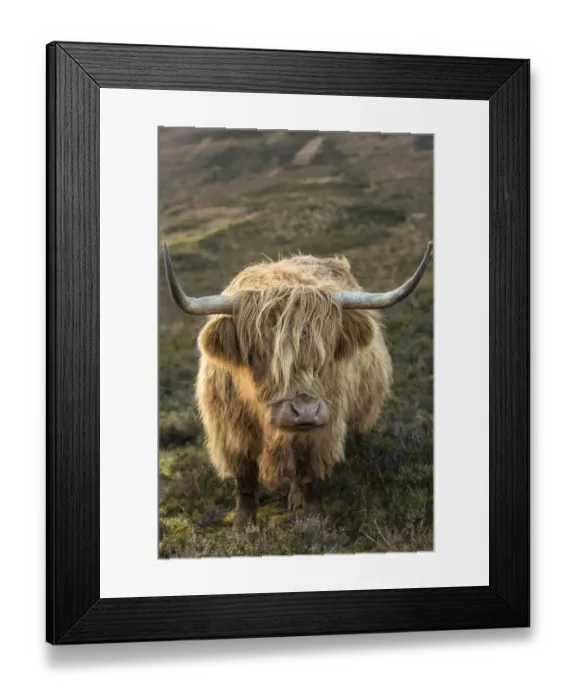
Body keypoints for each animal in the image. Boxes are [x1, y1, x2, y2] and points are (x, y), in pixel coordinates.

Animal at [163, 241, 433, 526]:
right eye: (260, 352)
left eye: (325, 351)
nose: (305, 411)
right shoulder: (230, 430)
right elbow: (245, 478)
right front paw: (243, 525)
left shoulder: (324, 429)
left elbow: (310, 474)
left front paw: (313, 521)